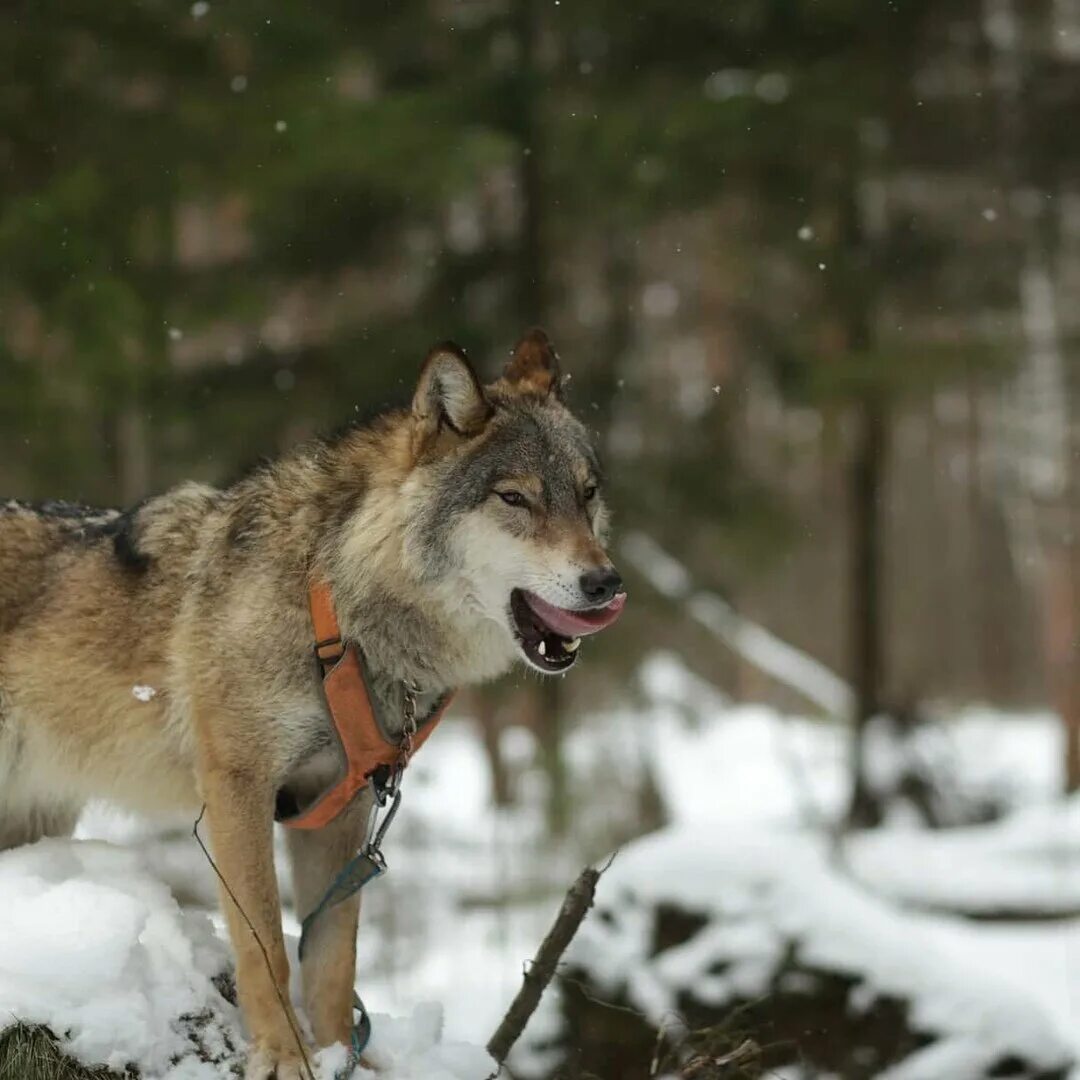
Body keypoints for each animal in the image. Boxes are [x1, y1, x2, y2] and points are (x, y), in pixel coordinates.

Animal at [0, 330, 626, 1080]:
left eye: (586, 495)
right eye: (515, 499)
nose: (607, 583)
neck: (334, 603)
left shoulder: (339, 807)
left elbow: (333, 962)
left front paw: (338, 1055)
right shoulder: (238, 791)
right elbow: (266, 944)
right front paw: (283, 1056)